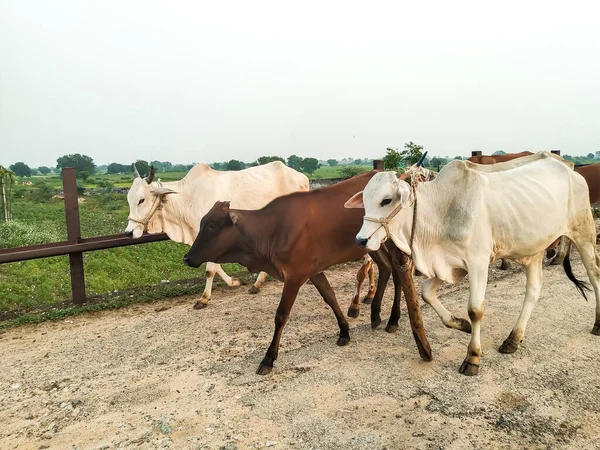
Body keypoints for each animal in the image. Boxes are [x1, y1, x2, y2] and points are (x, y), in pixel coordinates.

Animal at [123, 162, 308, 310]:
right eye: (129, 199)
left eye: (141, 200)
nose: (129, 232)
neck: (186, 199)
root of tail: (302, 177)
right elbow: (215, 267)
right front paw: (234, 282)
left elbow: (210, 270)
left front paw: (203, 299)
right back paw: (257, 284)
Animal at [183, 171, 432, 374]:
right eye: (203, 223)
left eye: (212, 226)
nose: (187, 258)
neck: (270, 231)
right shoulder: (313, 271)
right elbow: (330, 297)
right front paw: (344, 331)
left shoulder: (294, 276)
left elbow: (281, 315)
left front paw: (268, 358)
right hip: (373, 245)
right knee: (386, 269)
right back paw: (376, 315)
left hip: (390, 242)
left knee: (399, 272)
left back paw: (393, 319)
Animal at [346, 153, 600, 374]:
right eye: (365, 202)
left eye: (386, 200)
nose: (361, 240)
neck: (441, 209)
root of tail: (569, 169)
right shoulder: (450, 264)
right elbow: (427, 292)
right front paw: (460, 323)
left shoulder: (478, 263)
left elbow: (475, 310)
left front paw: (472, 357)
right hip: (533, 249)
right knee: (533, 290)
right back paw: (513, 339)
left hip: (584, 233)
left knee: (594, 274)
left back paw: (597, 324)